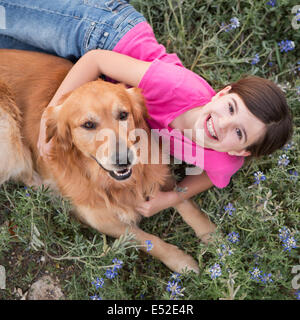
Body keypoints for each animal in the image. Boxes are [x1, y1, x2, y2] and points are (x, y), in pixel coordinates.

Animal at [0, 48, 216, 274]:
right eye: (88, 124)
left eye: (123, 114)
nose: (123, 159)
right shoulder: (101, 220)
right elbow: (147, 240)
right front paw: (182, 261)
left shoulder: (158, 171)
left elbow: (183, 200)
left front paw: (212, 234)